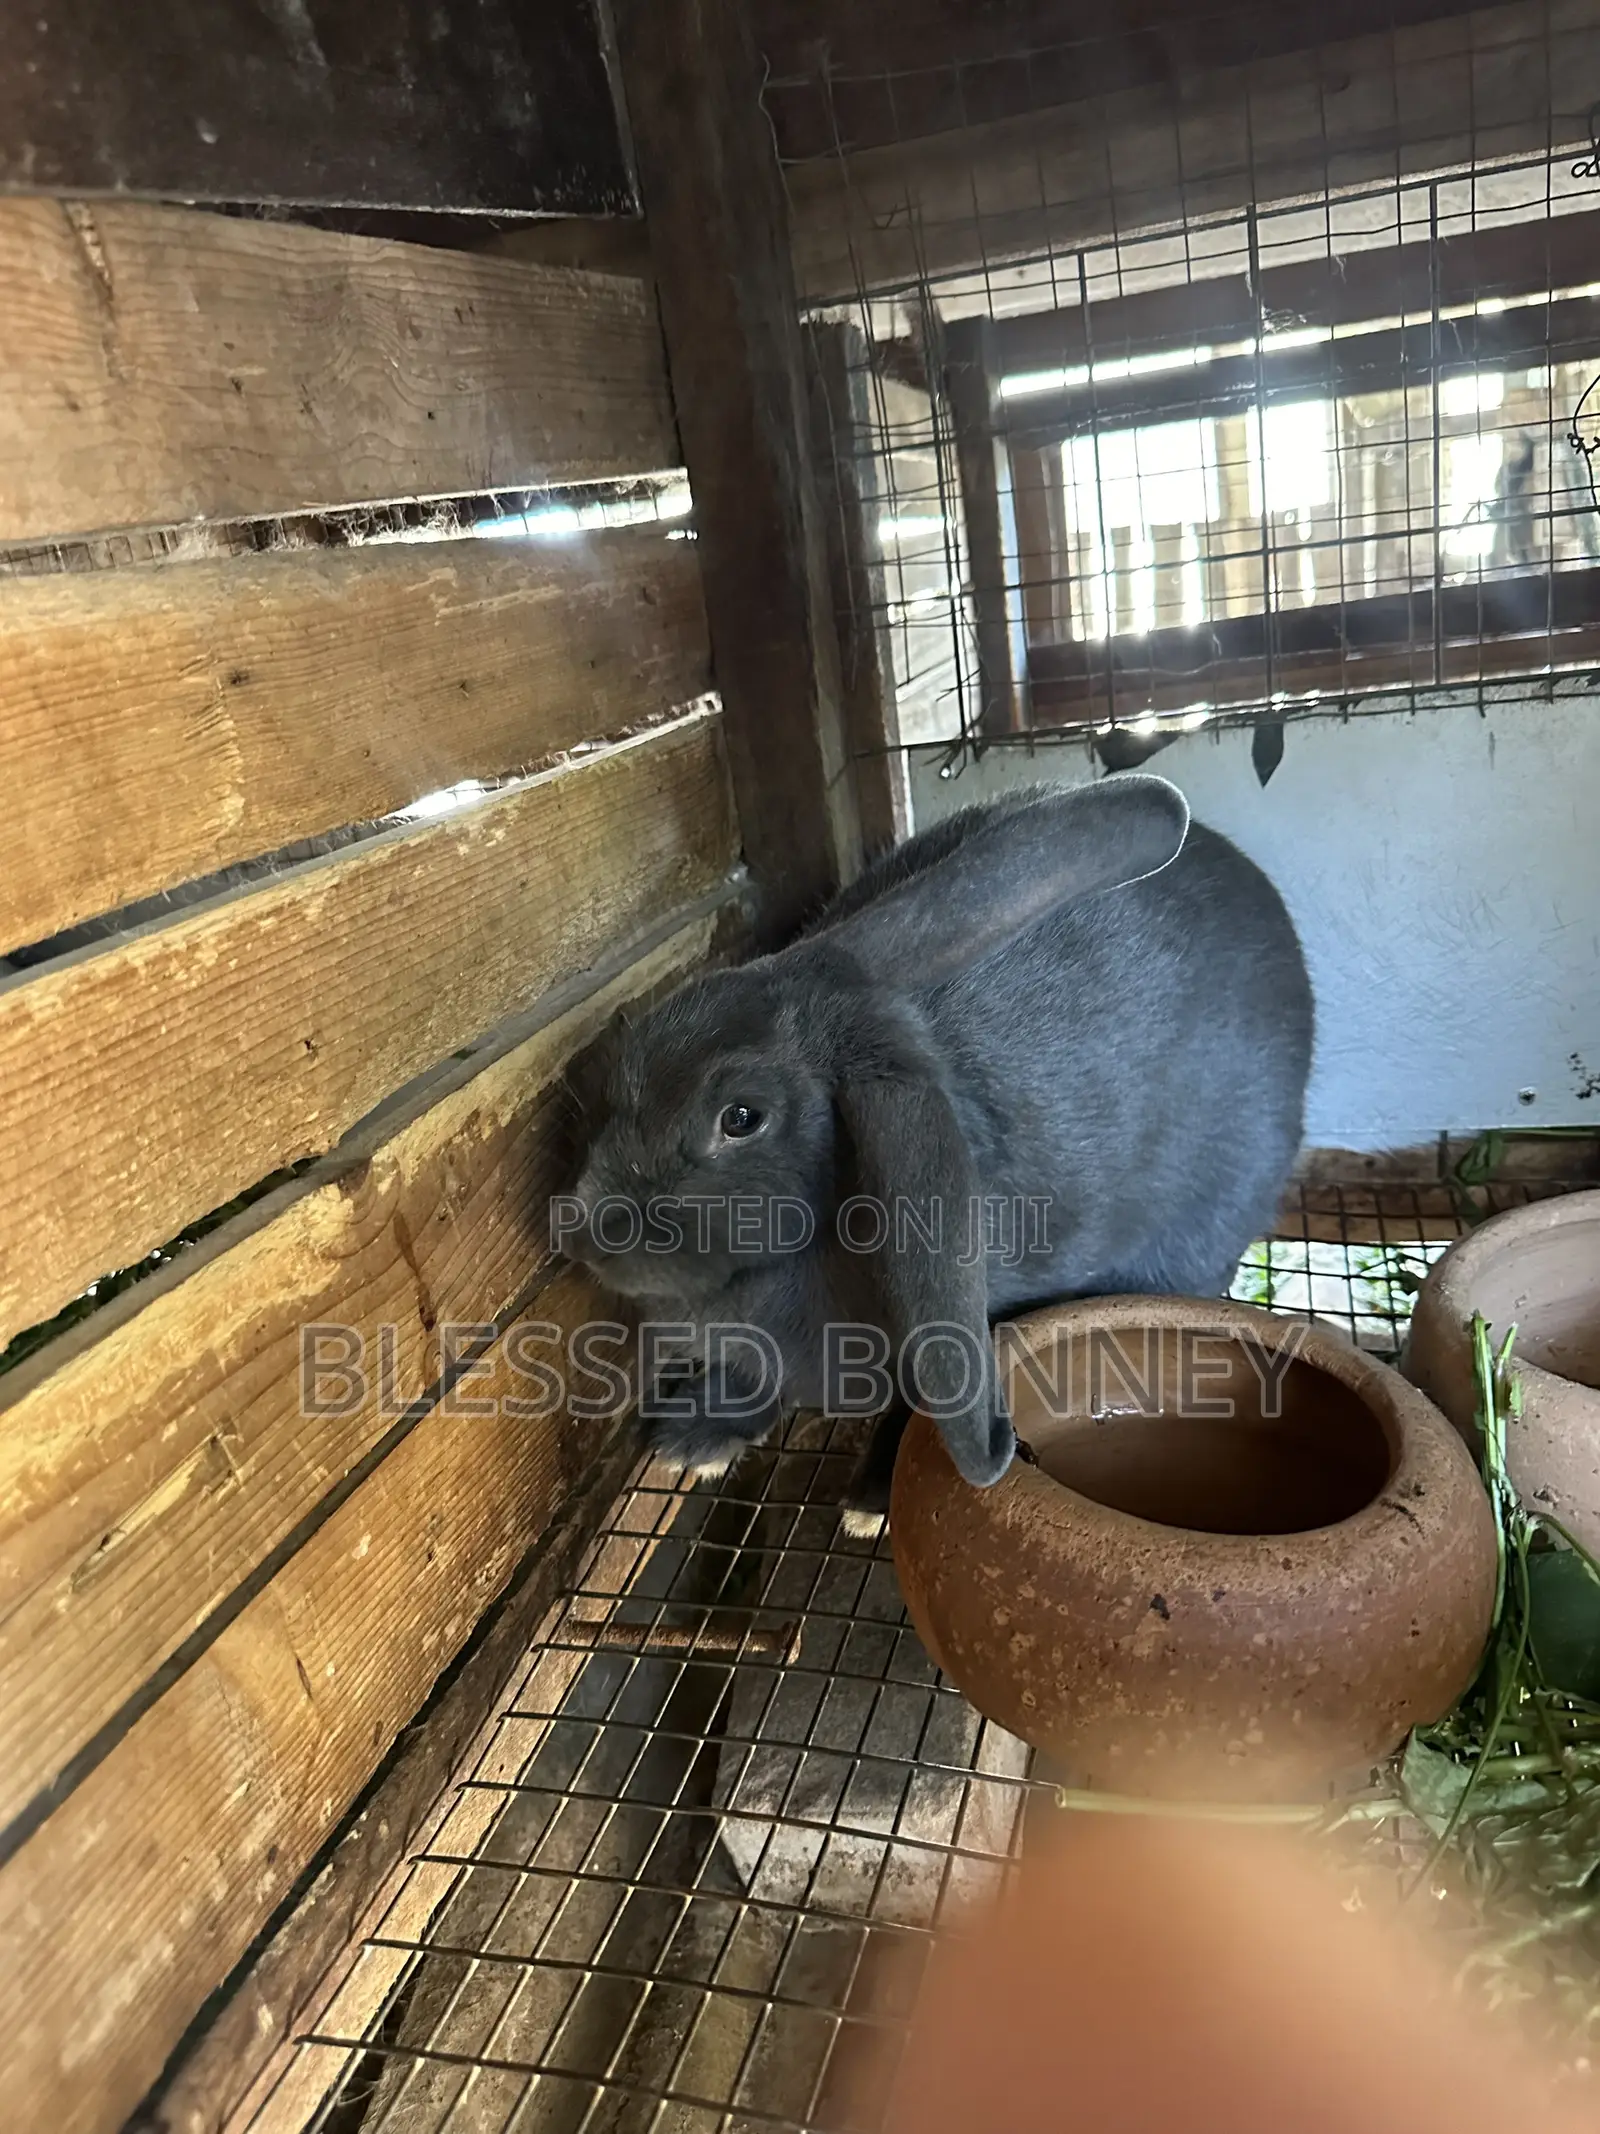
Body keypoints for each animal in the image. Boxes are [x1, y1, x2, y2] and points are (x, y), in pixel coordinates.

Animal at [558, 774, 1314, 1530]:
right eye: (630, 1057)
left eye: (741, 1118)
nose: (589, 1234)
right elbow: (753, 1378)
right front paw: (692, 1437)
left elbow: (923, 1406)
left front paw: (869, 1501)